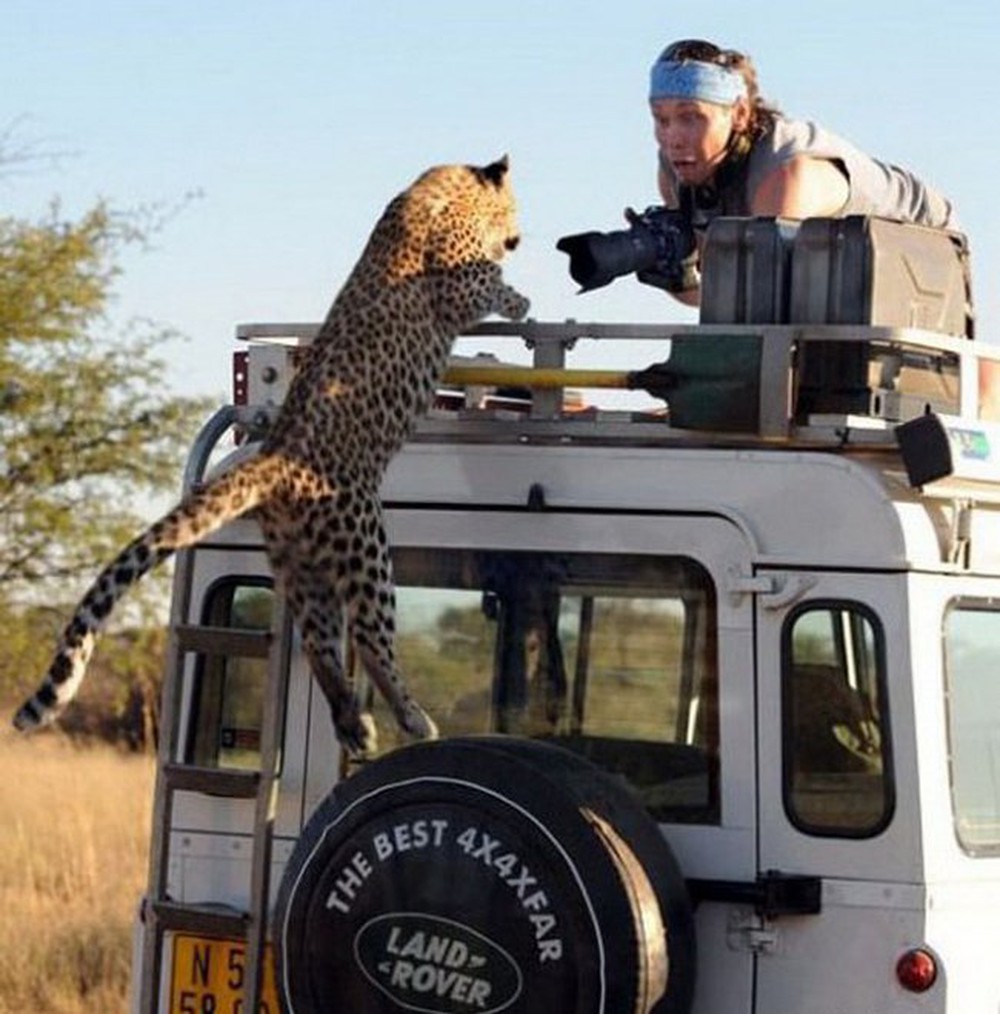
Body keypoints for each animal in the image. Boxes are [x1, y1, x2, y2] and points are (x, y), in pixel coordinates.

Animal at [13, 155, 530, 754]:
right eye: (515, 209)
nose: (517, 238)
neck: (446, 184)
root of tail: (274, 461)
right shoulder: (455, 286)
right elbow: (486, 282)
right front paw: (519, 297)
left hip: (301, 566)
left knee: (318, 643)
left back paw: (356, 728)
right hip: (367, 546)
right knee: (368, 637)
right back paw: (411, 718)